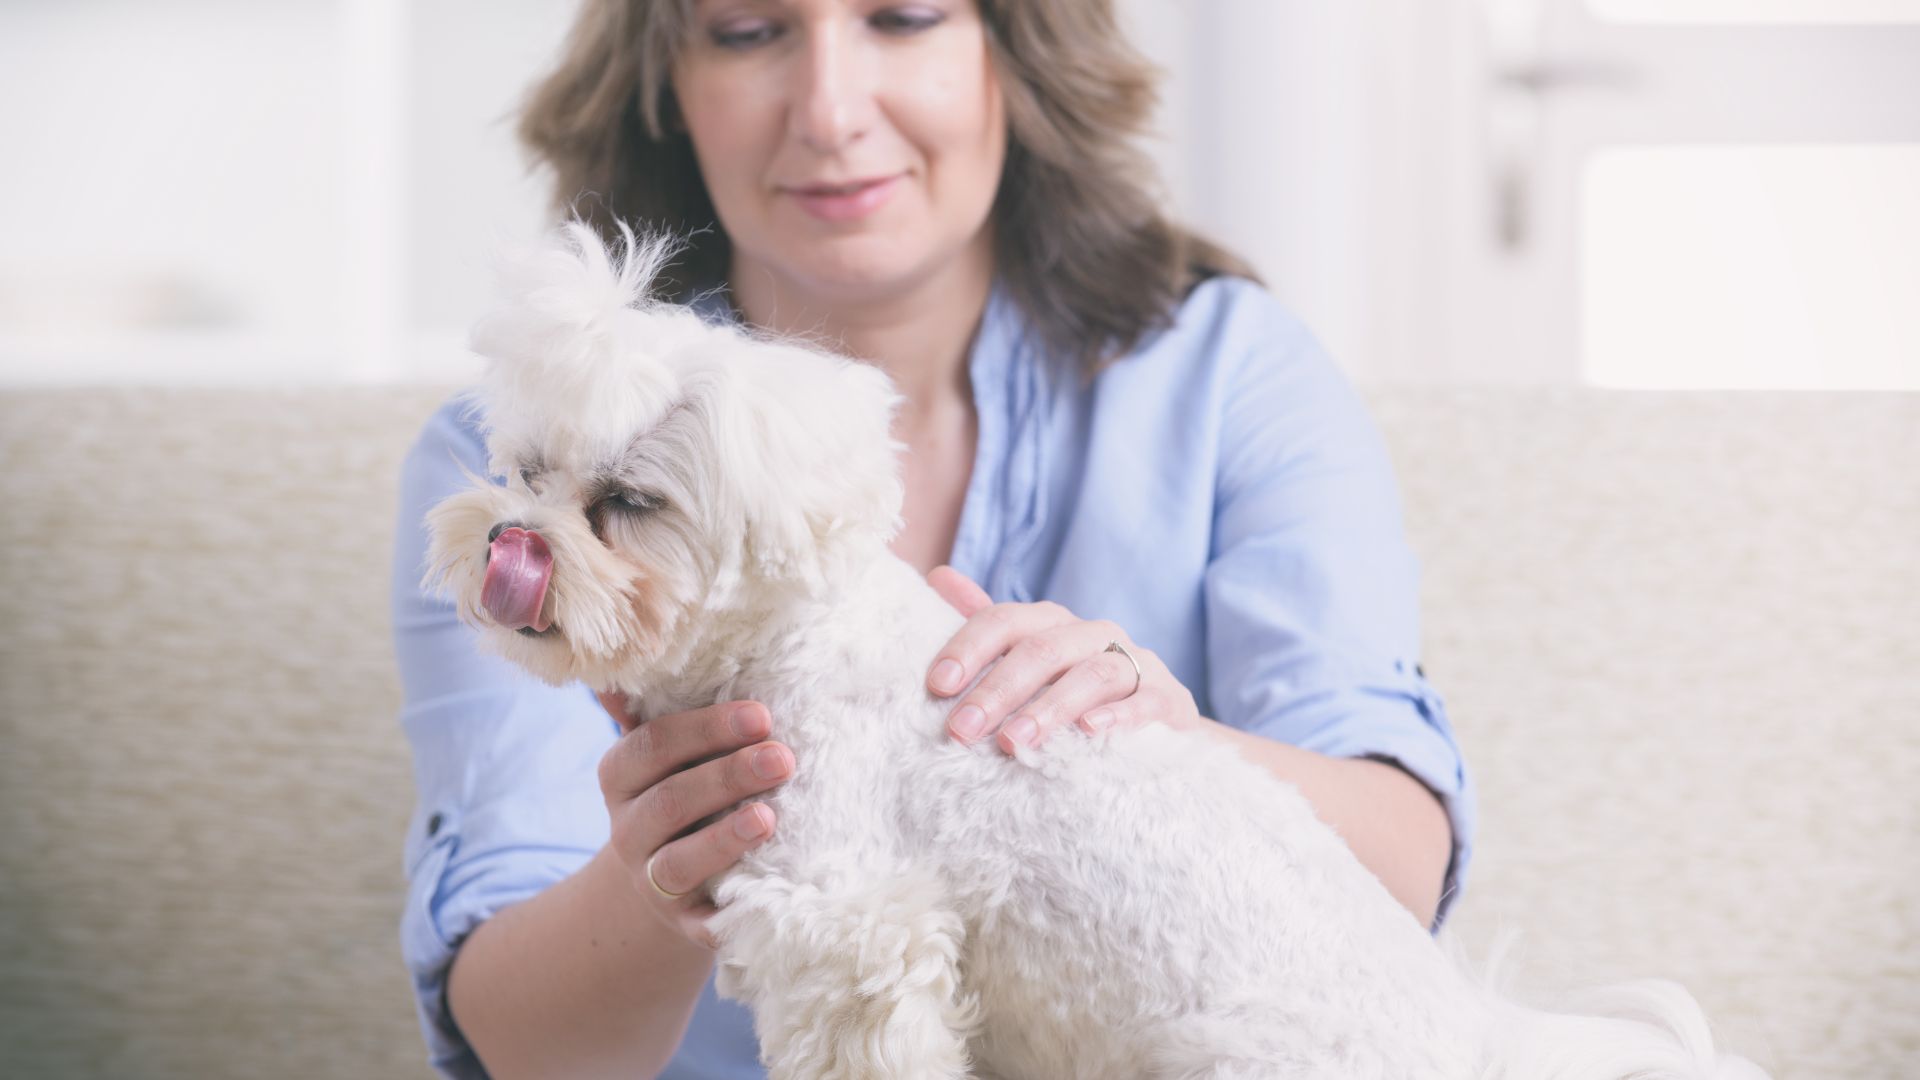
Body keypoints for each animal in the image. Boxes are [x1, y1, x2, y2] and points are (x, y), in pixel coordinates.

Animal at [424, 220, 1766, 1076]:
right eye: (523, 470)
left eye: (626, 505)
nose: (506, 539)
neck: (799, 635)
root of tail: (1480, 1044)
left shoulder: (853, 934)